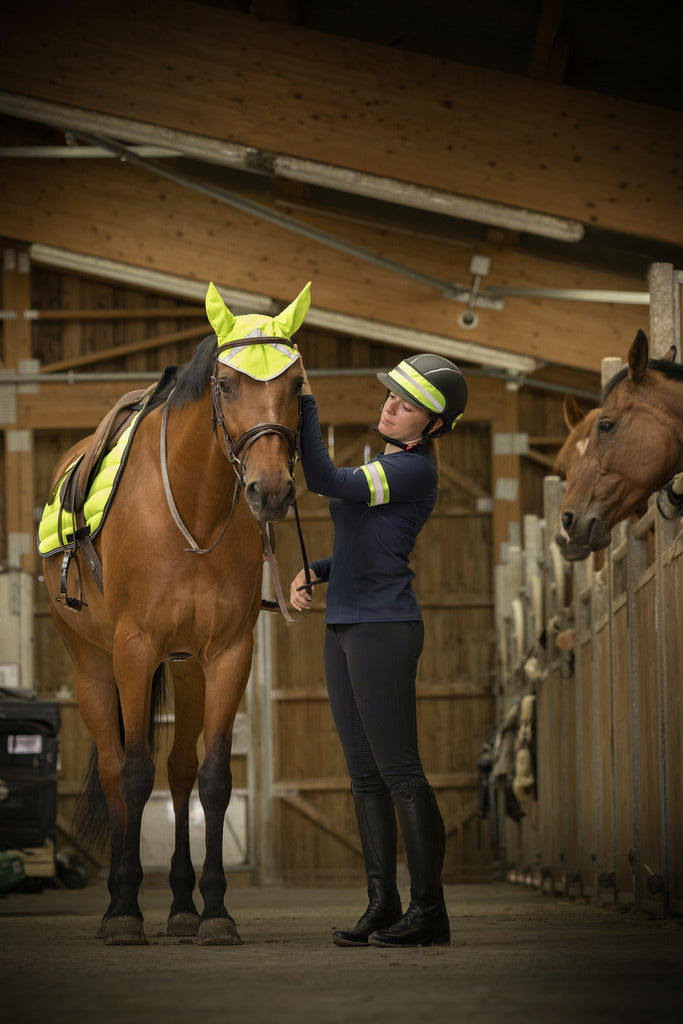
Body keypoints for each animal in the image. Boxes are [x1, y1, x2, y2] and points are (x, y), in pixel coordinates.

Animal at [41, 280, 311, 942]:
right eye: (227, 384)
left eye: (296, 385)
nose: (270, 491)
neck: (194, 510)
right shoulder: (134, 649)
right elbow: (136, 773)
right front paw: (124, 911)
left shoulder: (229, 653)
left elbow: (212, 777)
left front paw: (214, 910)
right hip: (93, 664)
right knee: (116, 769)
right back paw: (120, 897)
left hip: (187, 669)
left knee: (182, 768)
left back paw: (185, 905)